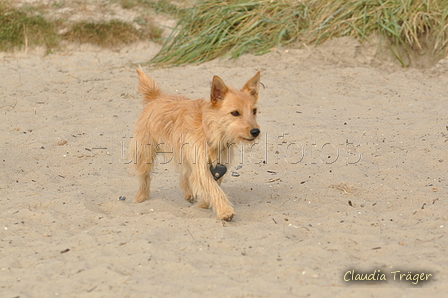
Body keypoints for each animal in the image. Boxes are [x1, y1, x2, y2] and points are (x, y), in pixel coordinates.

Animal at [130, 68, 260, 220]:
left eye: (254, 111)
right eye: (235, 113)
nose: (255, 131)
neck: (210, 131)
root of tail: (155, 97)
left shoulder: (218, 164)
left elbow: (214, 185)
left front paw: (204, 204)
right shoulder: (201, 167)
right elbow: (213, 188)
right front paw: (224, 210)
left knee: (184, 175)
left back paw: (188, 193)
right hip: (145, 154)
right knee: (144, 176)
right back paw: (142, 196)